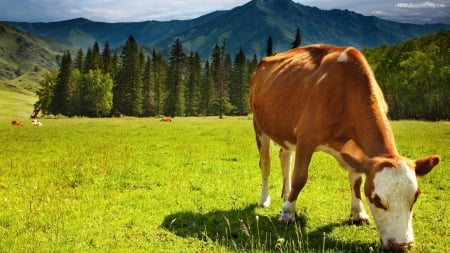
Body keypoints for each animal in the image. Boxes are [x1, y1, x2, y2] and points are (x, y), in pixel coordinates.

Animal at [250, 44, 440, 250]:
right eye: (376, 199)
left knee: (285, 158)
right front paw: (287, 214)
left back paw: (286, 193)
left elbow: (356, 180)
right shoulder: (306, 138)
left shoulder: (358, 152)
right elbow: (300, 177)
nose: (402, 245)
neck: (345, 94)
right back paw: (265, 199)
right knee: (265, 164)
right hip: (259, 126)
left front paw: (358, 213)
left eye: (416, 196)